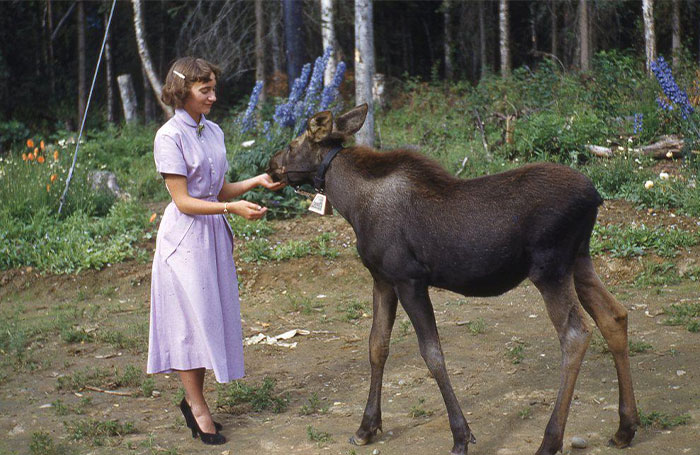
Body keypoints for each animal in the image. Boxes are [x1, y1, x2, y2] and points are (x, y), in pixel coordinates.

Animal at [266, 104, 639, 455]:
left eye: (292, 144)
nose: (271, 164)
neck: (352, 205)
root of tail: (595, 197)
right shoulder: (382, 280)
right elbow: (377, 346)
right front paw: (366, 427)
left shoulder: (410, 280)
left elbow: (432, 354)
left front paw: (461, 436)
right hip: (580, 260)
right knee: (614, 315)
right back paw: (626, 427)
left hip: (550, 268)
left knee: (576, 333)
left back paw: (550, 441)